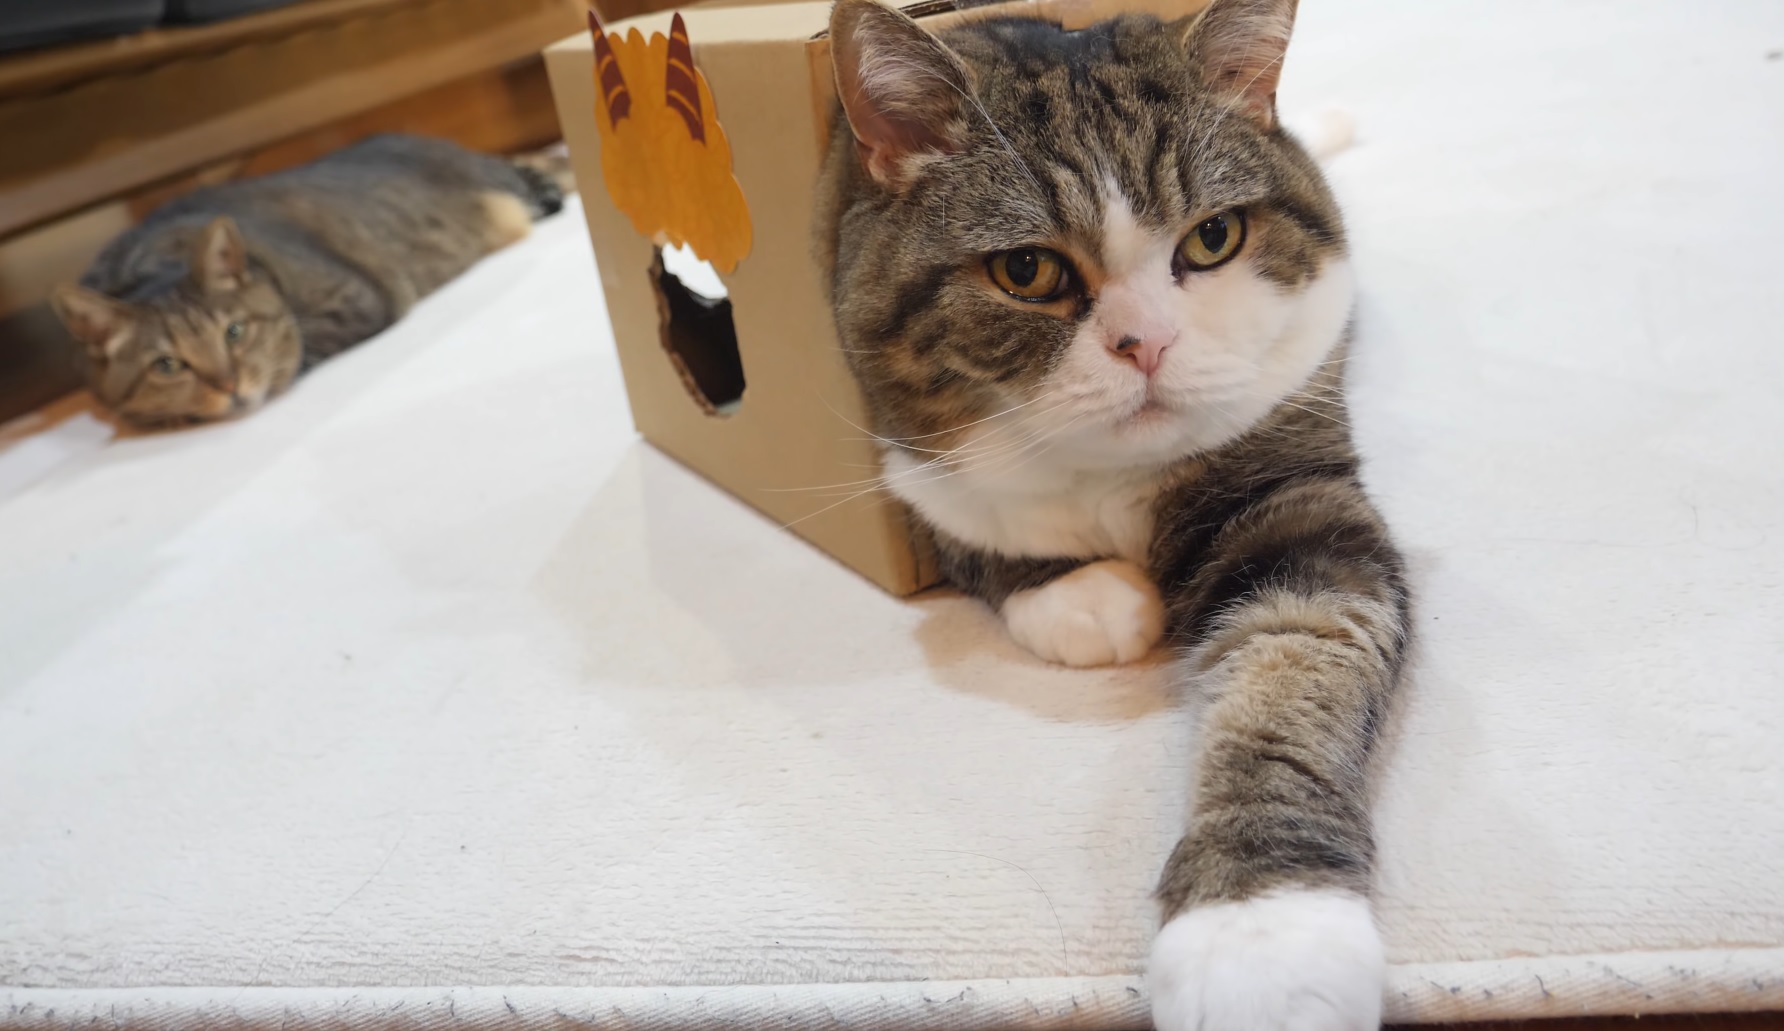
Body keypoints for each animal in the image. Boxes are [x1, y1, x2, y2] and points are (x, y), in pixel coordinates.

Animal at [52, 134, 560, 428]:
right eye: (167, 365)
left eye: (234, 332)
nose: (229, 386)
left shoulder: (354, 298)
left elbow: (296, 345)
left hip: (506, 186)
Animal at [817, 2, 1405, 1027]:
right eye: (1025, 269)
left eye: (1213, 238)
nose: (1148, 343)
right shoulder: (895, 433)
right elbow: (967, 518)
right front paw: (1085, 597)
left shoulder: (1295, 482)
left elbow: (1298, 655)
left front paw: (1264, 938)